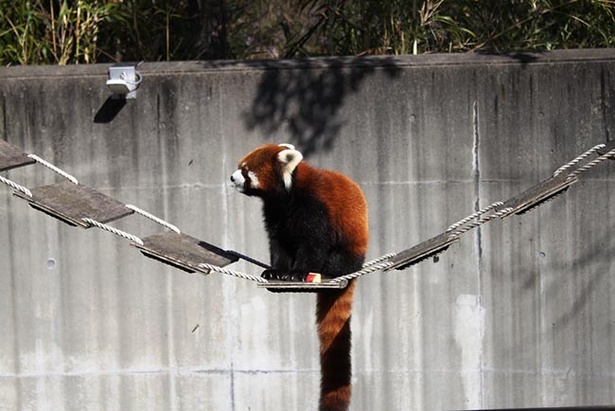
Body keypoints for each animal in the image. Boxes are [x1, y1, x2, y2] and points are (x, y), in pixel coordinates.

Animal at [230, 144, 366, 411]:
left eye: (245, 169)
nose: (231, 177)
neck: (287, 195)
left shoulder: (314, 208)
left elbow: (313, 243)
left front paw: (298, 272)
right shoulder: (275, 214)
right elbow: (278, 243)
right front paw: (276, 270)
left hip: (350, 247)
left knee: (337, 258)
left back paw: (327, 272)